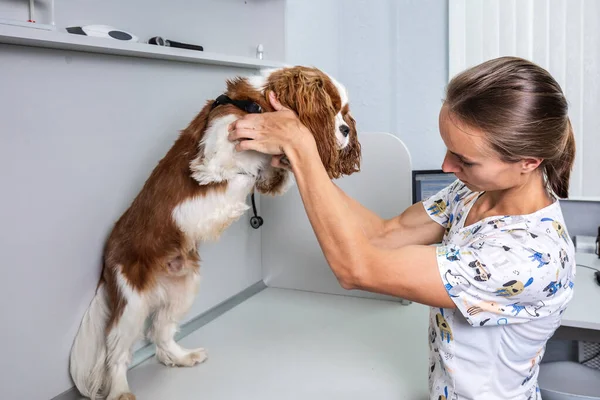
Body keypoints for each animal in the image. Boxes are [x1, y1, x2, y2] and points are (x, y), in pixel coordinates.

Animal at [69, 66, 360, 400]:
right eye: (332, 108)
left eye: (344, 113)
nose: (345, 130)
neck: (256, 103)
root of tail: (109, 252)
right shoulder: (213, 157)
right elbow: (232, 172)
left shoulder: (266, 175)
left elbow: (267, 175)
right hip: (132, 300)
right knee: (115, 351)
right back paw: (119, 390)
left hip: (183, 285)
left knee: (160, 333)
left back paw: (181, 357)